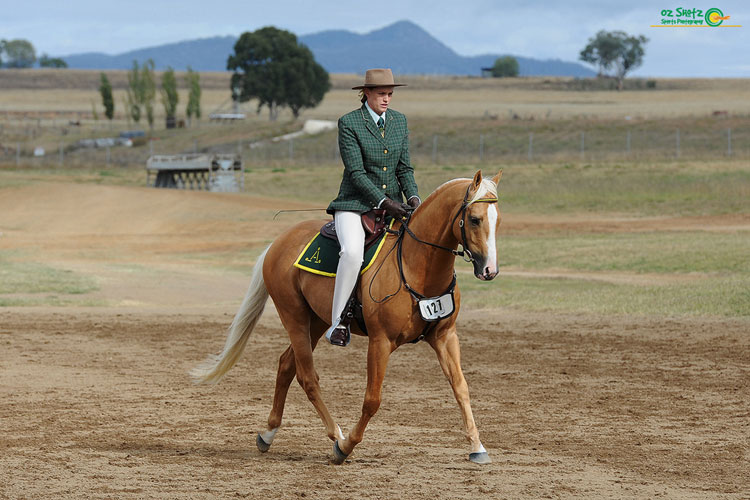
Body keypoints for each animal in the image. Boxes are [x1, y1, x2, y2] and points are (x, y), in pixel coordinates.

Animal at [190, 169, 502, 465]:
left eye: (496, 220)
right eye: (475, 219)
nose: (489, 270)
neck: (415, 264)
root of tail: (278, 242)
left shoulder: (444, 337)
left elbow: (461, 388)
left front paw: (477, 447)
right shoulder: (380, 342)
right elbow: (372, 400)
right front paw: (346, 446)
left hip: (317, 322)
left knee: (286, 365)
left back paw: (268, 434)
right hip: (294, 317)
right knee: (307, 376)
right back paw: (336, 435)